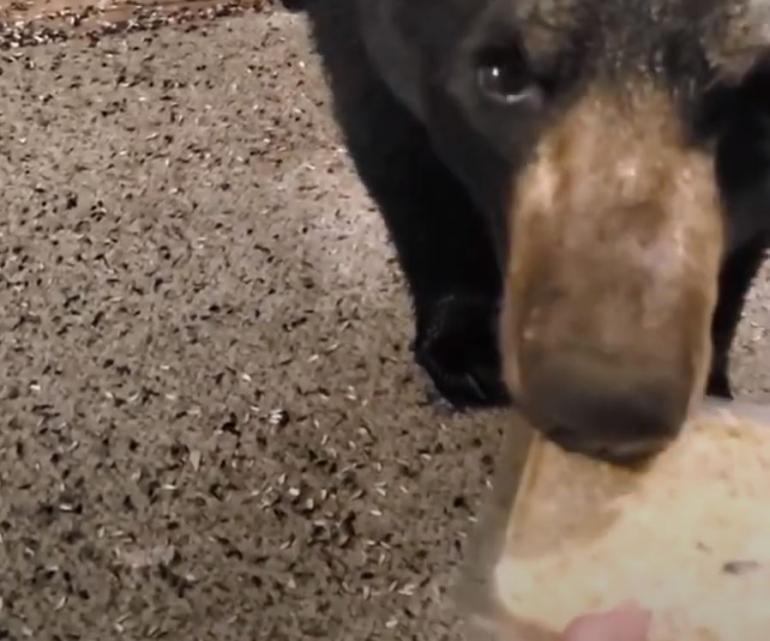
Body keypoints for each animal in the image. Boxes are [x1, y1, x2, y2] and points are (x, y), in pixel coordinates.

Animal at [304, 0, 768, 460]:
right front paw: (464, 347)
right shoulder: (364, 44)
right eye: (502, 73)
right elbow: (406, 163)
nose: (607, 407)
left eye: (758, 103)